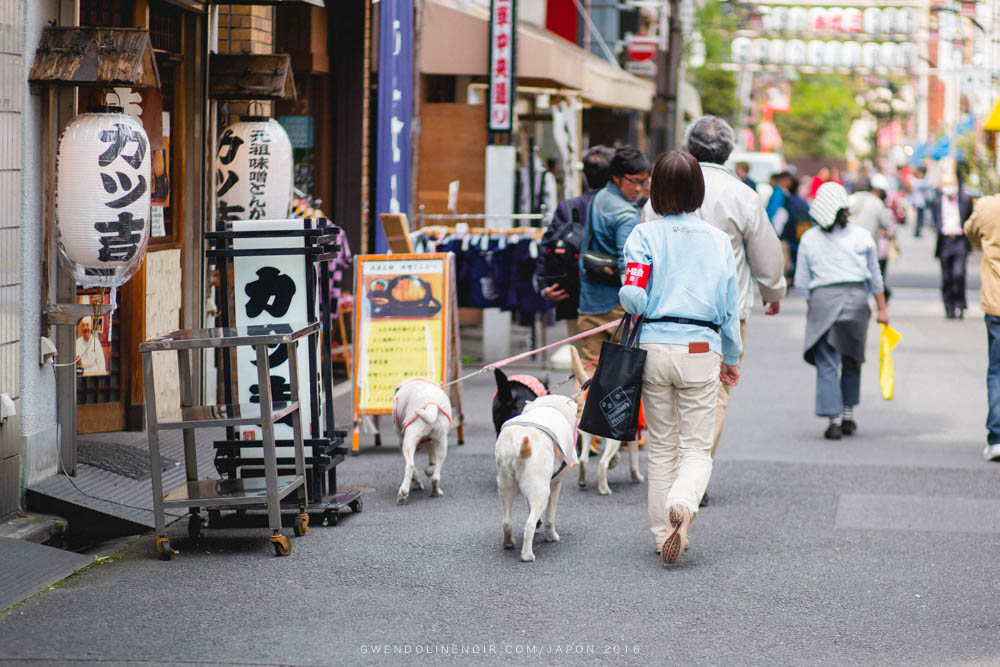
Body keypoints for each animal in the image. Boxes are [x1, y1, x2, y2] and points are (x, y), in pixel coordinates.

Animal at [494, 394, 580, 560]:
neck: (550, 406)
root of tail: (517, 442)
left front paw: (540, 523)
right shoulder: (555, 483)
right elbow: (550, 517)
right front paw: (551, 536)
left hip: (506, 486)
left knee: (506, 521)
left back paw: (508, 543)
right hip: (541, 491)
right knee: (528, 525)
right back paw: (527, 556)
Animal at [568, 348, 644, 494]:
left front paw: (615, 462)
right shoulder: (633, 437)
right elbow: (634, 462)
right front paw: (637, 477)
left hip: (588, 434)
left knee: (583, 460)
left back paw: (582, 481)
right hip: (613, 441)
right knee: (602, 463)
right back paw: (604, 489)